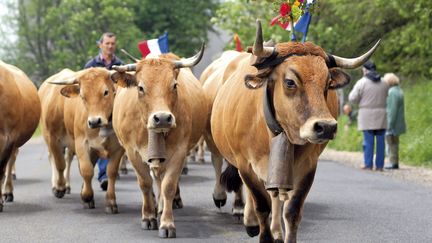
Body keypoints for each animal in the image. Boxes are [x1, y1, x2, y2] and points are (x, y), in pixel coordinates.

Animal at [38, 67, 125, 213]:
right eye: (82, 96)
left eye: (106, 92)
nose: (94, 121)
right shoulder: (80, 143)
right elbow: (84, 169)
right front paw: (86, 196)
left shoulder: (118, 148)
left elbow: (111, 172)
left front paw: (111, 201)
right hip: (50, 137)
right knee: (56, 160)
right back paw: (59, 186)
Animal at [209, 19, 382, 242]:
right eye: (290, 81)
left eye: (328, 83)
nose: (326, 127)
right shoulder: (245, 164)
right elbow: (261, 205)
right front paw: (261, 232)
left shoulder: (308, 166)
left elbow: (291, 210)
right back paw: (247, 218)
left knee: (275, 196)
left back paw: (275, 230)